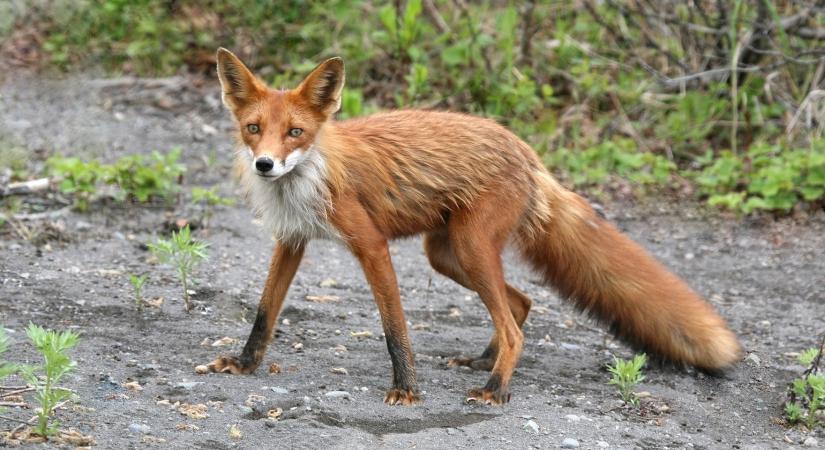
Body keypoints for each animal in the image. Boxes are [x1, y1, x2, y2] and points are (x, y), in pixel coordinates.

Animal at [204, 48, 740, 404]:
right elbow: (264, 313)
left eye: (295, 132)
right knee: (520, 305)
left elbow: (394, 327)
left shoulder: (371, 244)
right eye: (254, 129)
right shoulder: (291, 240)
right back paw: (485, 362)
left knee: (514, 325)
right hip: (446, 254)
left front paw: (406, 389)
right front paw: (244, 364)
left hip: (470, 247)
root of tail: (526, 151)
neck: (309, 177)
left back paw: (495, 388)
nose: (265, 165)